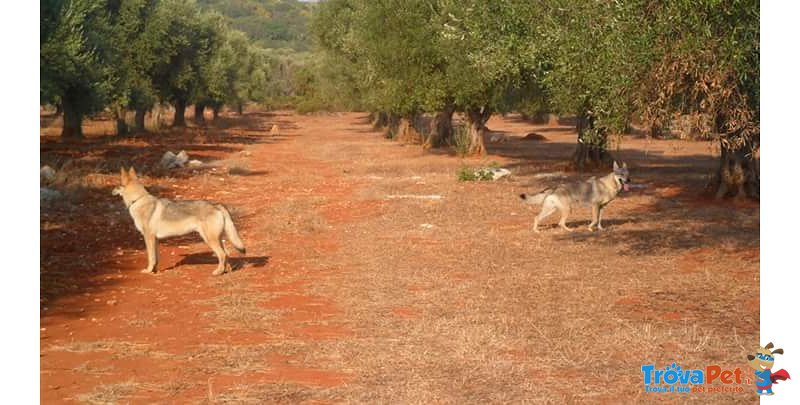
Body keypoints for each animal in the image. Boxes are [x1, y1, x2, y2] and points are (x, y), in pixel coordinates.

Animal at [111, 166, 245, 274]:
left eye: (117, 185)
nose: (111, 190)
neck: (138, 200)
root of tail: (217, 205)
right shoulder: (155, 239)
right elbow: (156, 258)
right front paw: (155, 270)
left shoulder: (148, 237)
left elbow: (151, 257)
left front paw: (148, 271)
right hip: (216, 239)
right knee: (227, 253)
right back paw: (226, 271)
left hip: (209, 239)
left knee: (222, 254)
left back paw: (218, 272)